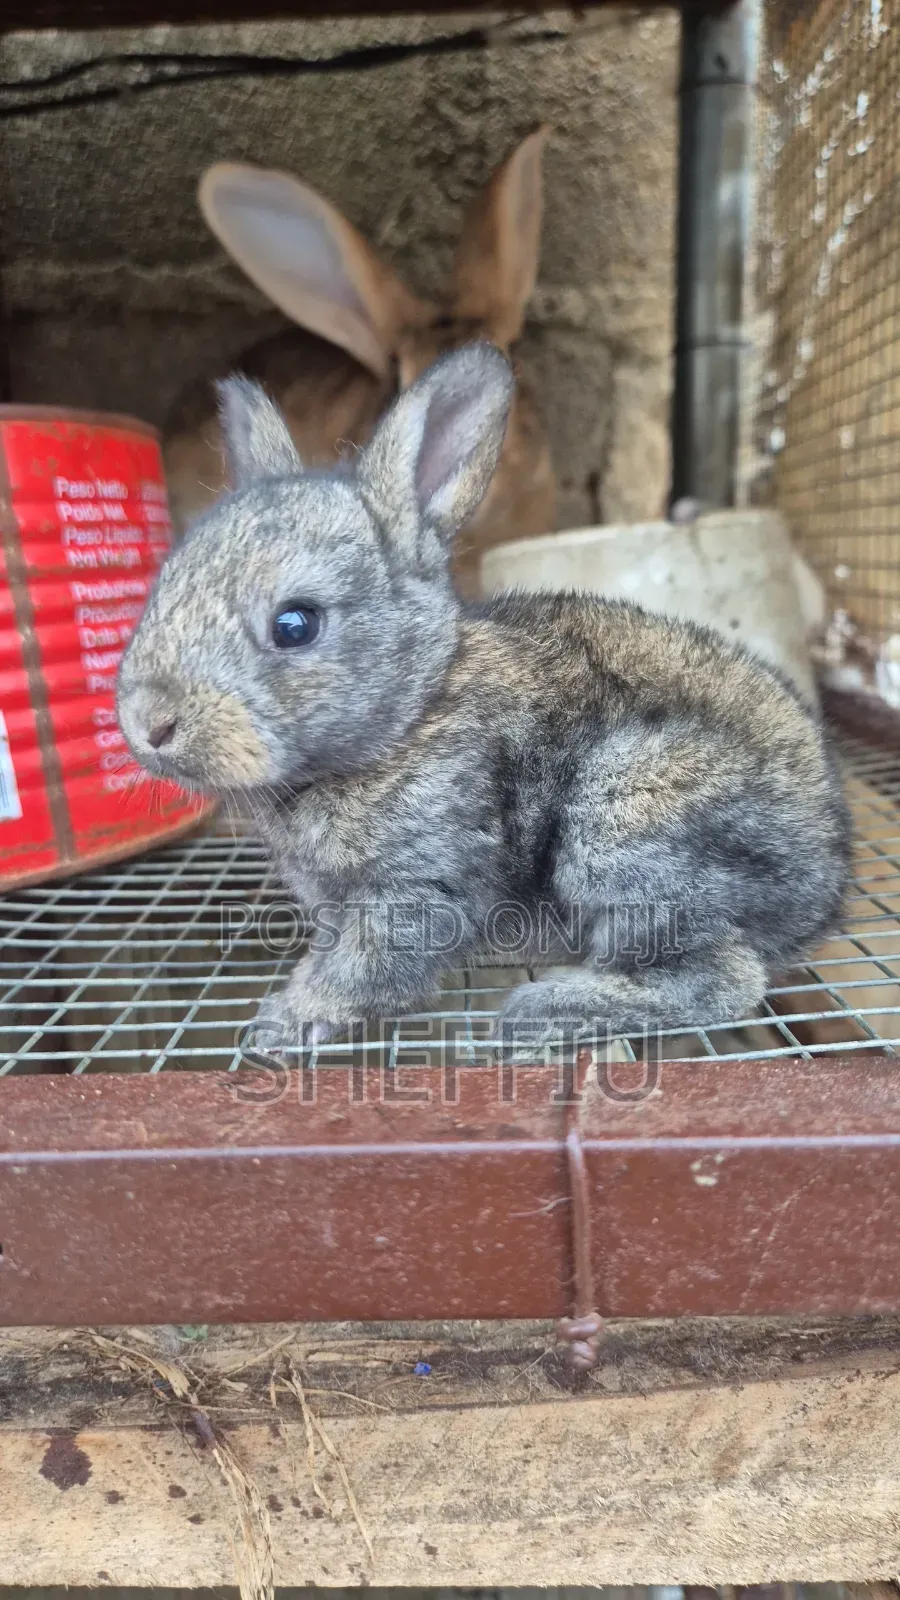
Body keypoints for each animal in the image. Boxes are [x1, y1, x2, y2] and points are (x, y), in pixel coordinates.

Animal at [117, 344, 851, 1057]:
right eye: (164, 584)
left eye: (295, 624)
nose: (149, 723)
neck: (408, 717)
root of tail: (824, 879)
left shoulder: (420, 883)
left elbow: (367, 966)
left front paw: (286, 1021)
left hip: (627, 819)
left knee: (725, 978)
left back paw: (546, 1012)